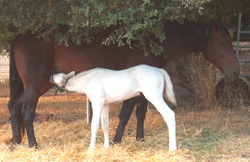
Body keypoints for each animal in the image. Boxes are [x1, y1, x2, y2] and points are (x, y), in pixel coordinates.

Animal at [49, 64, 177, 151]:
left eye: (58, 76)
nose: (51, 75)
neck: (89, 80)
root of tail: (159, 70)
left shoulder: (97, 103)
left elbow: (95, 124)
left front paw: (91, 147)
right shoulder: (106, 104)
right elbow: (105, 124)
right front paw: (106, 146)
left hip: (154, 97)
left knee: (169, 115)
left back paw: (172, 148)